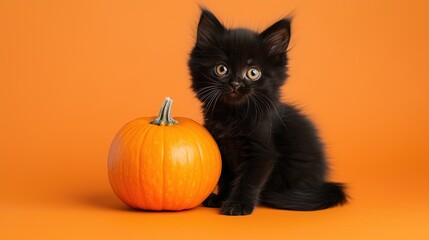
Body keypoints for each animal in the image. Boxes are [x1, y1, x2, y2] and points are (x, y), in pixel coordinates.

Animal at [188, 8, 348, 216]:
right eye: (221, 69)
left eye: (253, 72)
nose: (235, 84)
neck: (233, 116)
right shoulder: (222, 148)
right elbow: (226, 177)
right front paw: (222, 197)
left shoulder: (262, 152)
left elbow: (248, 180)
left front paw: (238, 204)